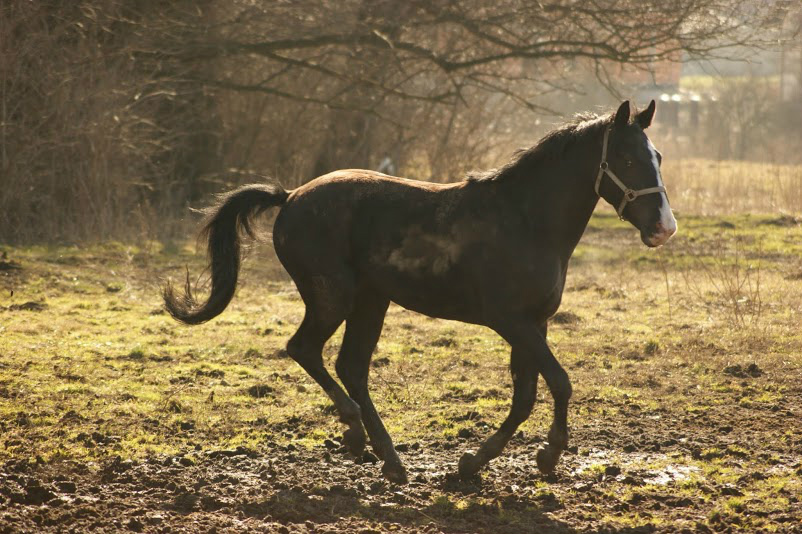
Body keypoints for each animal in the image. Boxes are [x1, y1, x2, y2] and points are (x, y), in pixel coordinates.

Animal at [162, 100, 676, 486]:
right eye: (628, 159)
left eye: (658, 157)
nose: (663, 228)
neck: (525, 221)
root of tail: (290, 197)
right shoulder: (511, 321)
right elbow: (559, 383)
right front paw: (547, 456)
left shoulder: (535, 323)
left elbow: (526, 394)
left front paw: (471, 464)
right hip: (333, 297)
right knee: (305, 349)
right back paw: (356, 435)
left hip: (371, 301)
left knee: (350, 366)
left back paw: (386, 457)